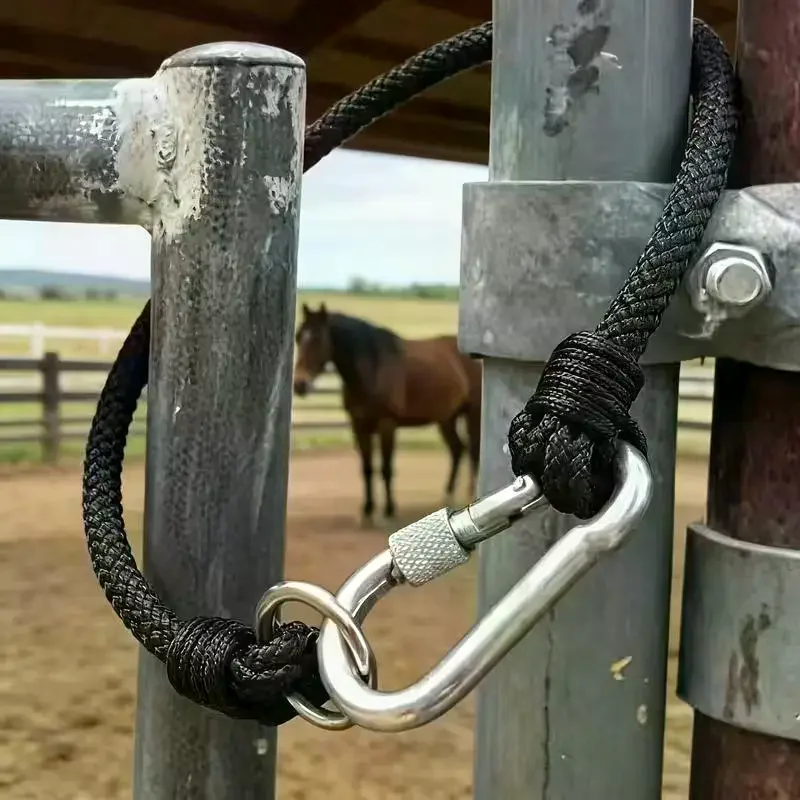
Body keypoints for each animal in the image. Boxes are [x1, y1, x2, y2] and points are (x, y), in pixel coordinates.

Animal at [292, 303, 482, 523]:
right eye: (298, 336)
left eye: (318, 339)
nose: (300, 384)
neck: (373, 369)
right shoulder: (359, 427)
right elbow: (367, 468)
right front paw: (367, 510)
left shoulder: (387, 425)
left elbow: (386, 468)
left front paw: (390, 509)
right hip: (447, 418)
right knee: (457, 449)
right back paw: (448, 494)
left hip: (472, 414)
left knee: (473, 451)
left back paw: (470, 494)